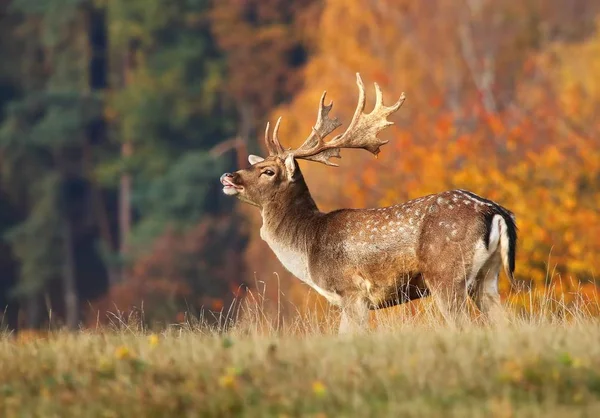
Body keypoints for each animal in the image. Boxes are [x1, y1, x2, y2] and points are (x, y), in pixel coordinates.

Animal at [220, 72, 516, 334]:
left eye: (268, 171)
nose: (228, 176)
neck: (308, 245)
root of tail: (495, 211)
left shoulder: (352, 292)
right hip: (487, 276)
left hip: (446, 273)